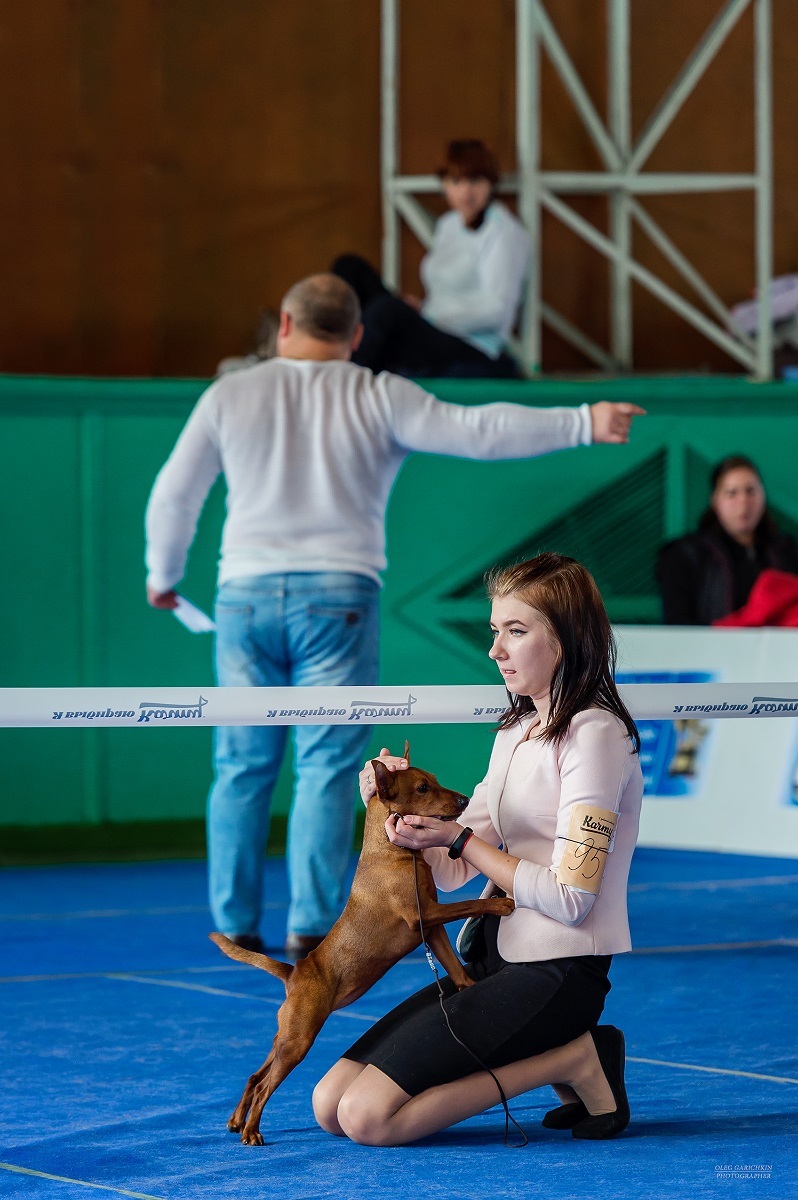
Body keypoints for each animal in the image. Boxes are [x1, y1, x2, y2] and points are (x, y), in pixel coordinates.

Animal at [208, 739, 513, 1142]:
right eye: (423, 788)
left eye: (434, 779)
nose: (464, 799)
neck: (392, 851)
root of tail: (295, 971)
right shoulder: (424, 916)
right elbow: (470, 903)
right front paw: (501, 902)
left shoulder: (430, 928)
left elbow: (454, 966)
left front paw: (470, 988)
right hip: (299, 1039)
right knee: (263, 1086)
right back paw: (252, 1131)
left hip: (286, 1036)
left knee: (254, 1075)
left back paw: (235, 1120)